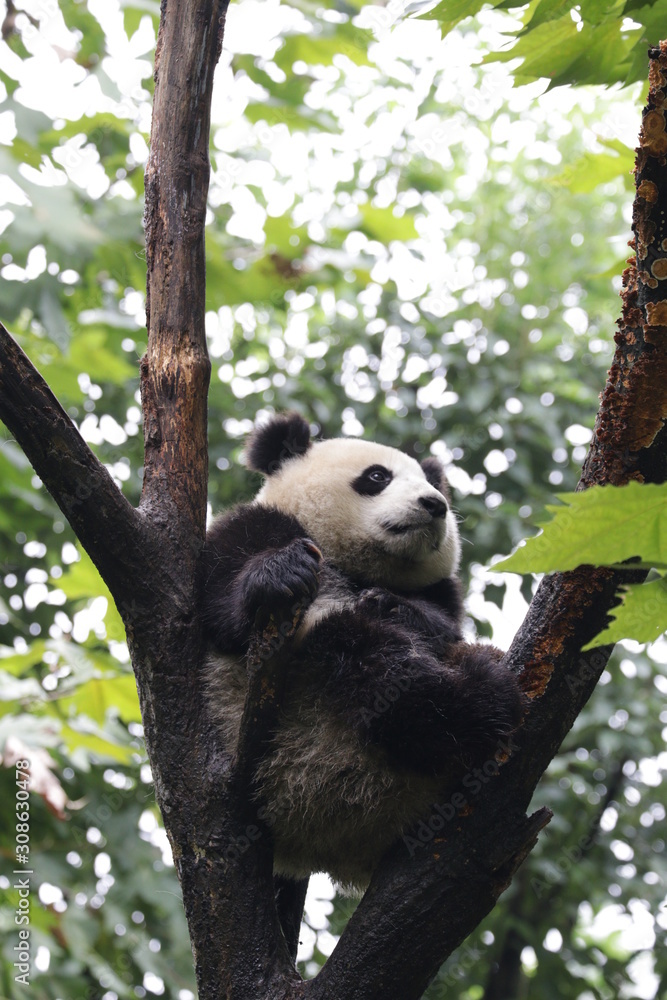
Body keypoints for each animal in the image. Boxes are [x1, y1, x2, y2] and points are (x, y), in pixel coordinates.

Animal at [201, 412, 523, 895]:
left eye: (430, 482)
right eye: (377, 476)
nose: (435, 505)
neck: (356, 565)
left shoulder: (439, 589)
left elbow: (443, 623)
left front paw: (393, 605)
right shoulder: (252, 529)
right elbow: (221, 607)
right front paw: (281, 573)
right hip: (286, 728)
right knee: (374, 665)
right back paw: (482, 695)